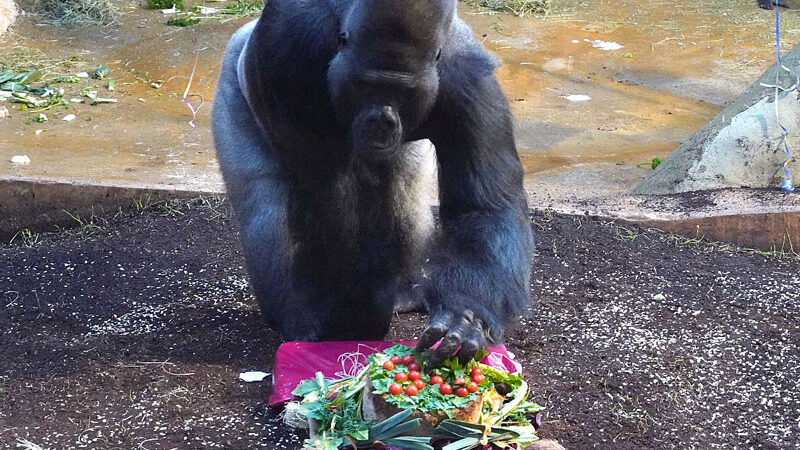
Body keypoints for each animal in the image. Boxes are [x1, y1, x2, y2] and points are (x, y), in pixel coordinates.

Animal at [216, 0, 536, 364]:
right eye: (367, 84)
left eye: (405, 92)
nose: (382, 120)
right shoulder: (289, 55)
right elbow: (325, 194)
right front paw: (345, 320)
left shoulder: (470, 83)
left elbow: (483, 207)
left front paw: (467, 316)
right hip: (233, 79)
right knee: (265, 207)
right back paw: (295, 312)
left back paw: (401, 294)